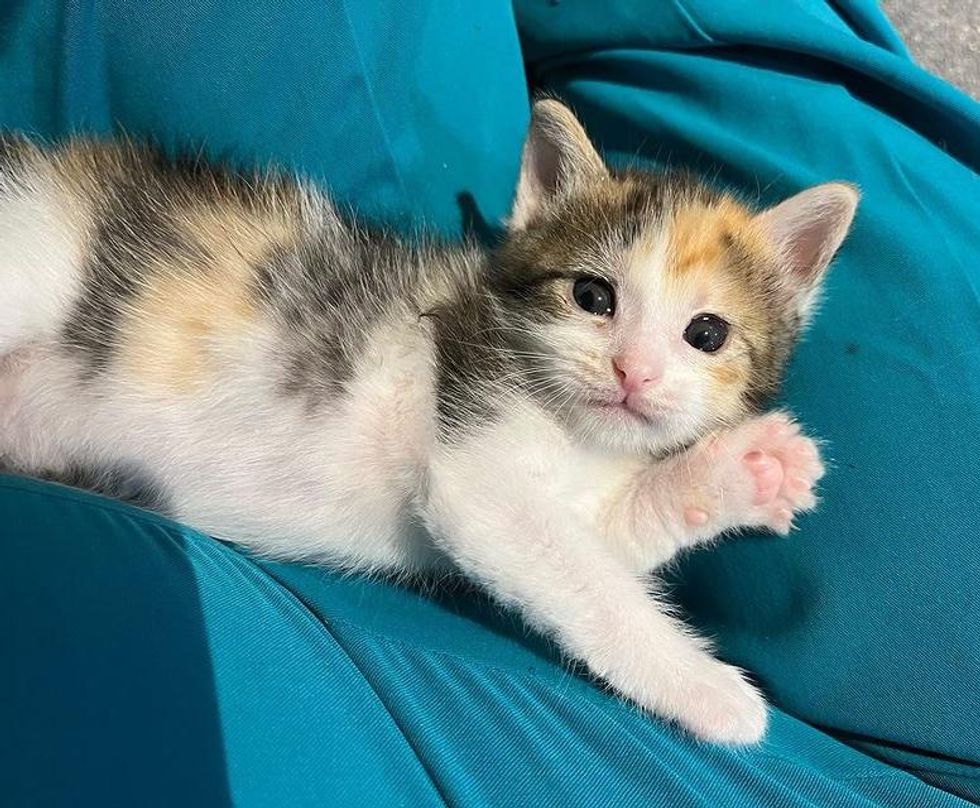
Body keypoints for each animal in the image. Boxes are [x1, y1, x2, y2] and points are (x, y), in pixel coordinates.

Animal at [0, 101, 856, 744]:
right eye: (593, 296)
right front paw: (710, 690)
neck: (574, 431)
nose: (631, 372)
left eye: (706, 333)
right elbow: (587, 581)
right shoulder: (475, 451)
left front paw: (743, 472)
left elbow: (606, 540)